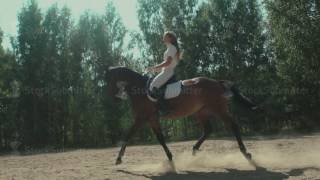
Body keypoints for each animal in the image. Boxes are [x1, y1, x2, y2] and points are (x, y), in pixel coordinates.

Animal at [106, 66, 258, 167]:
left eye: (108, 80)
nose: (113, 99)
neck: (140, 89)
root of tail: (217, 82)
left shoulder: (141, 118)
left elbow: (128, 135)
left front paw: (118, 159)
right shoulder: (152, 119)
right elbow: (160, 138)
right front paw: (170, 157)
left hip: (218, 109)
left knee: (233, 125)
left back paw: (246, 153)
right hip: (201, 112)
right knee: (208, 130)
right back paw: (194, 151)